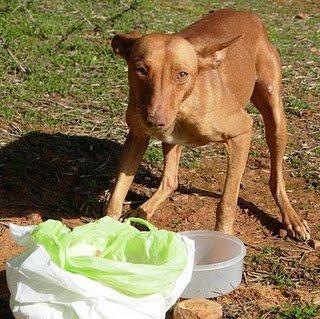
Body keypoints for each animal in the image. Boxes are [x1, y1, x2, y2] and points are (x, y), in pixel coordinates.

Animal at [104, 8, 310, 241]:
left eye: (182, 74)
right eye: (141, 70)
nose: (155, 120)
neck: (185, 106)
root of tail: (246, 12)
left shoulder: (242, 132)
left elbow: (227, 202)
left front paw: (223, 236)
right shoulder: (137, 136)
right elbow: (117, 195)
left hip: (274, 116)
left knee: (276, 179)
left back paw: (292, 218)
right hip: (171, 141)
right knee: (171, 180)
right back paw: (142, 211)